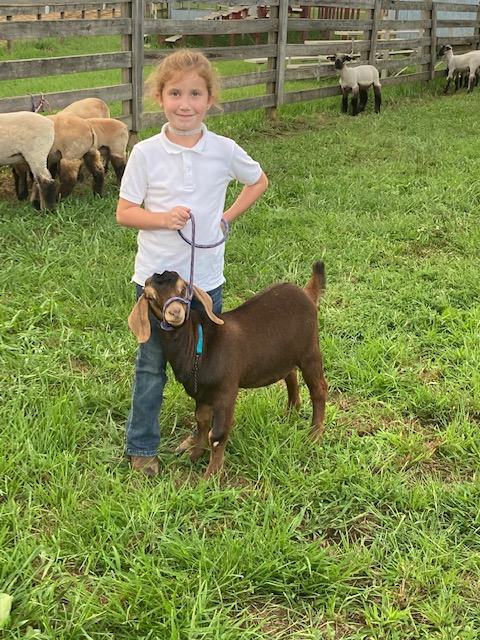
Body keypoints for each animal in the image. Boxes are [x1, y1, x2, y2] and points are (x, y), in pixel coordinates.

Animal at [128, 262, 328, 478]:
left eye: (183, 289)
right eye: (150, 297)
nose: (174, 312)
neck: (198, 344)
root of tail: (306, 293)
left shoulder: (226, 390)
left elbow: (217, 434)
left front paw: (210, 476)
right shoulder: (202, 393)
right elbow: (202, 421)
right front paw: (195, 454)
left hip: (310, 350)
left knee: (319, 389)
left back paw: (314, 435)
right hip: (285, 354)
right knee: (290, 375)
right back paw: (291, 413)